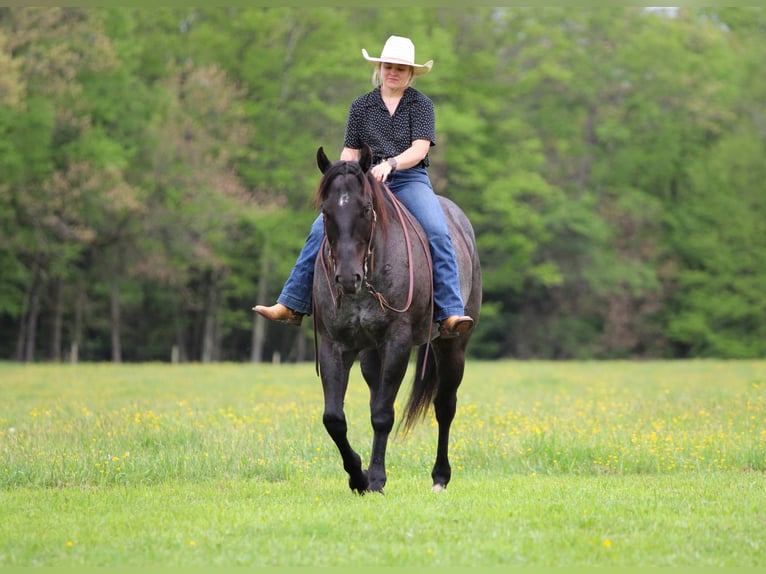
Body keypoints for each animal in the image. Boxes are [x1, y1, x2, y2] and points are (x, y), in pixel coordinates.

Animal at [313, 144, 482, 493]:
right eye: (326, 211)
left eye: (365, 209)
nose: (347, 278)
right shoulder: (335, 344)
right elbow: (334, 418)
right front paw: (358, 476)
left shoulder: (397, 342)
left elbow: (382, 415)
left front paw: (376, 479)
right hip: (370, 354)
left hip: (453, 346)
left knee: (445, 406)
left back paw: (440, 477)